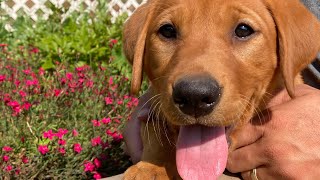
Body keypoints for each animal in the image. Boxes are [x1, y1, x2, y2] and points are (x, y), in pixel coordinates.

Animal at [122, 0, 320, 179]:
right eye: (168, 30)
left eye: (243, 30)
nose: (194, 96)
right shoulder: (152, 109)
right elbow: (158, 133)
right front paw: (154, 168)